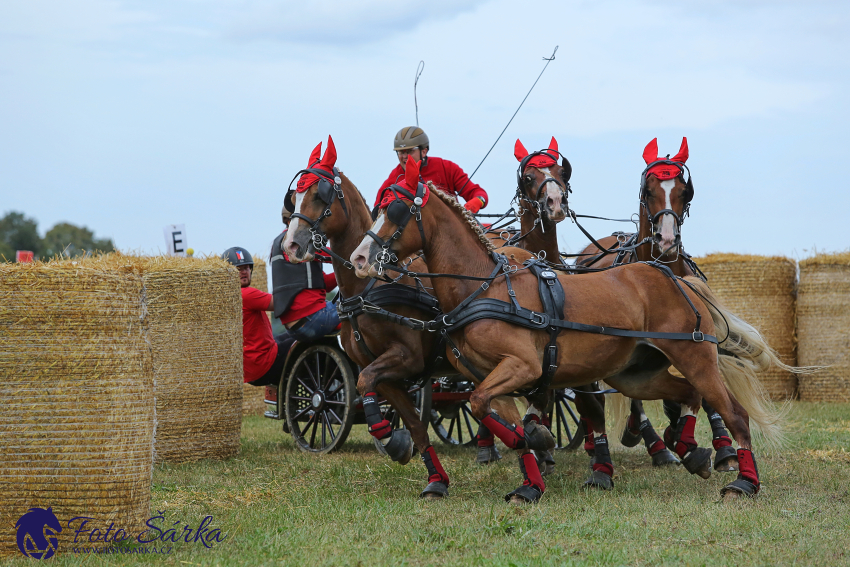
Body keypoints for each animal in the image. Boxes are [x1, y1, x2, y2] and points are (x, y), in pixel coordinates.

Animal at [348, 154, 780, 502]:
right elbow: (491, 412)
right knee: (687, 394)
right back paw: (691, 450)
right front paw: (530, 479)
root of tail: (675, 277)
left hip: (695, 358)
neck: (483, 285)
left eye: (397, 210)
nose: (359, 258)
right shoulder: (489, 376)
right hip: (636, 374)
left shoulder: (522, 366)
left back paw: (743, 481)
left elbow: (486, 407)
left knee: (733, 413)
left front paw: (535, 444)